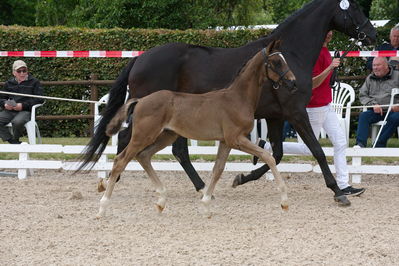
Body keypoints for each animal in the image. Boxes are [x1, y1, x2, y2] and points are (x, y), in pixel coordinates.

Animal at [98, 40, 296, 217]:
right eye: (276, 62)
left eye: (283, 59)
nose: (293, 83)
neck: (238, 98)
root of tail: (140, 101)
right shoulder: (236, 139)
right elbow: (268, 157)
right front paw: (284, 202)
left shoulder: (226, 142)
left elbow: (217, 170)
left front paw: (206, 205)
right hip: (143, 135)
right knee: (121, 160)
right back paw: (103, 206)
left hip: (166, 136)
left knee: (143, 156)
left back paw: (161, 201)